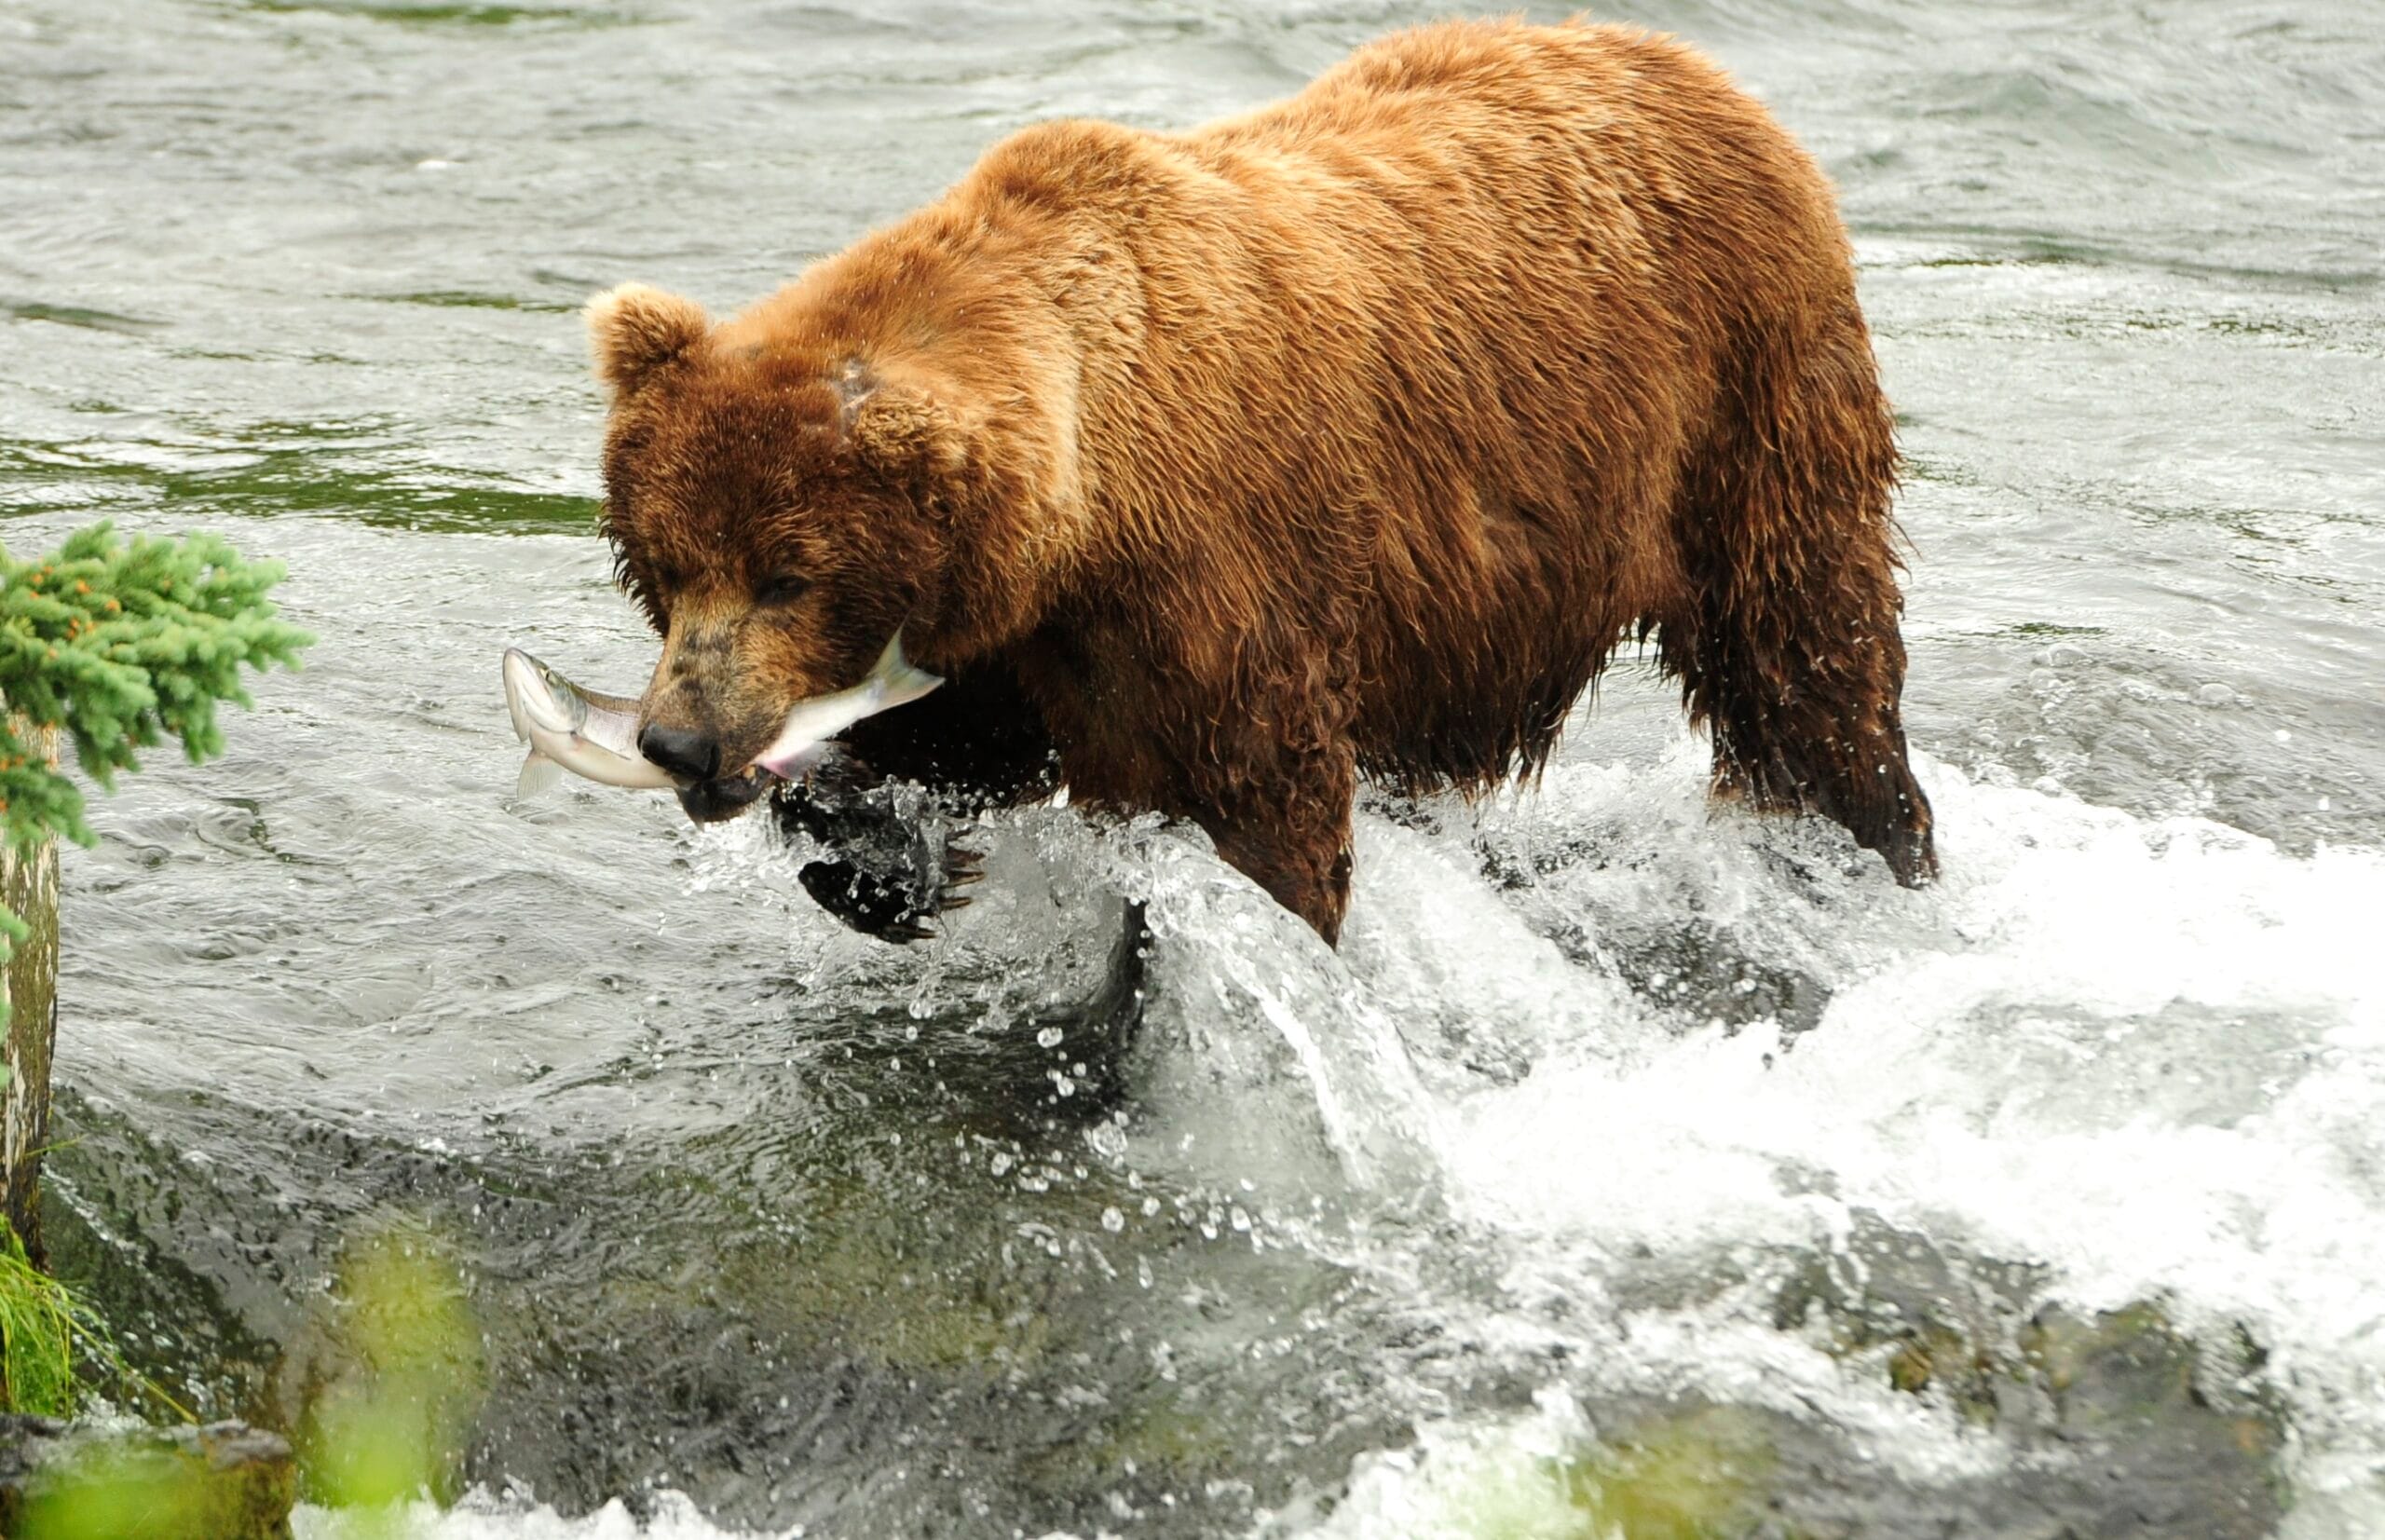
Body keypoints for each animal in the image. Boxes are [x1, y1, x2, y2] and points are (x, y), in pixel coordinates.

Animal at [587, 17, 1936, 947]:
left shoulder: (1218, 587)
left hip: (1745, 404)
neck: (1083, 514)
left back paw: (1883, 848)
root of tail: (1707, 74)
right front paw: (882, 853)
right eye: (665, 566)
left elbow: (1262, 815)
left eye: (786, 575)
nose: (677, 740)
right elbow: (952, 747)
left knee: (1806, 665)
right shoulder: (1013, 639)